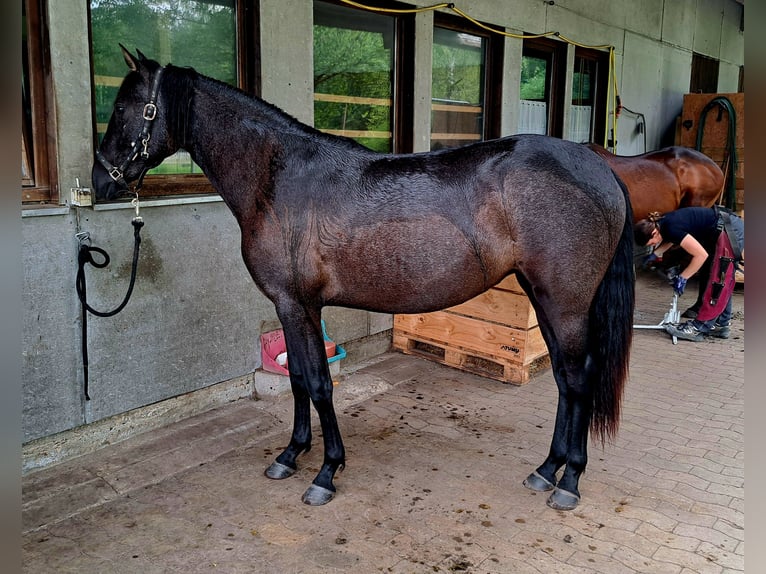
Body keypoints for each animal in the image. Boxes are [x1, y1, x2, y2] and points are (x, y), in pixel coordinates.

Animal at [93, 47, 636, 510]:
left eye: (123, 108)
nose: (100, 182)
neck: (278, 178)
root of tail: (600, 168)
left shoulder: (297, 304)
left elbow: (319, 384)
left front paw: (326, 472)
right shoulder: (292, 307)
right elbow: (297, 379)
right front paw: (291, 455)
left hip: (565, 303)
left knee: (578, 379)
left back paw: (568, 481)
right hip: (543, 297)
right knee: (565, 379)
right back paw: (547, 470)